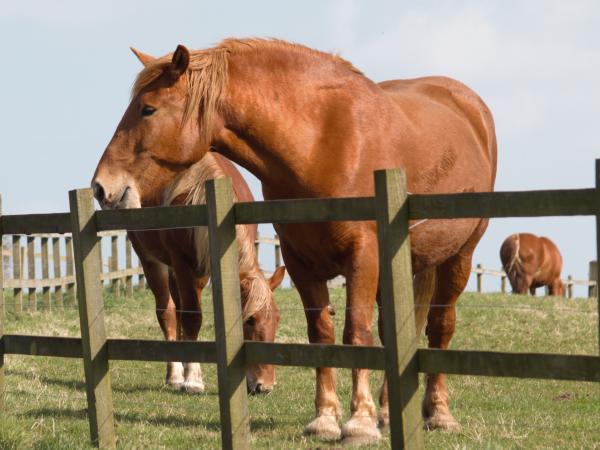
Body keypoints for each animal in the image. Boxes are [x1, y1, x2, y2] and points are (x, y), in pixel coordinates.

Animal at [117, 149, 286, 392]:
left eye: (277, 318)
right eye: (249, 320)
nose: (265, 385)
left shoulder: (202, 271)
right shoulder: (183, 264)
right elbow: (192, 317)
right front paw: (193, 379)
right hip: (153, 263)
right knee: (167, 312)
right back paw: (175, 375)